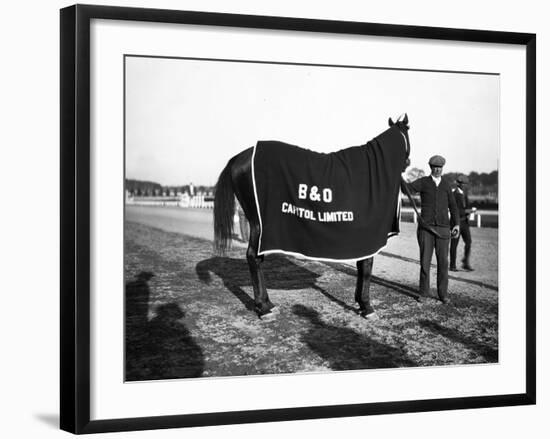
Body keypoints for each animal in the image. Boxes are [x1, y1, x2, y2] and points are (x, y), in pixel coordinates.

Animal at [213, 113, 412, 320]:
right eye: (408, 130)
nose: (408, 163)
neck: (371, 174)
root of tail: (238, 158)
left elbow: (362, 265)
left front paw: (360, 303)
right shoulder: (368, 234)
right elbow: (366, 267)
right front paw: (367, 306)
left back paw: (267, 304)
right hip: (258, 224)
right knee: (253, 257)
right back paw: (264, 308)